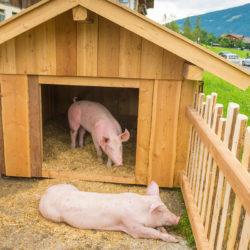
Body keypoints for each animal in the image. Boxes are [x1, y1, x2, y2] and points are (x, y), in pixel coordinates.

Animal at [39, 182, 180, 242]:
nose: (177, 218)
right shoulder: (132, 226)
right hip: (52, 215)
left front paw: (169, 234)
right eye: (160, 210)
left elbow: (159, 228)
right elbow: (151, 232)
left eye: (166, 207)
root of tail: (45, 193)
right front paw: (175, 240)